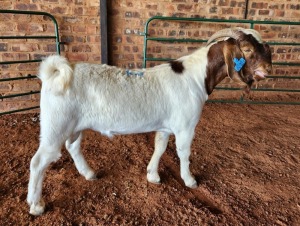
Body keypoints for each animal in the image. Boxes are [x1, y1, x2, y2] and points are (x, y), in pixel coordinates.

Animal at [27, 27, 272, 215]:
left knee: (72, 146)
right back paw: (36, 204)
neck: (196, 76)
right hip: (55, 124)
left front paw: (153, 175)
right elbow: (184, 152)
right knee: (39, 161)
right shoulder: (186, 126)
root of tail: (55, 74)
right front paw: (190, 180)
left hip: (75, 125)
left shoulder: (165, 126)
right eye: (247, 49)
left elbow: (160, 146)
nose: (268, 69)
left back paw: (89, 173)